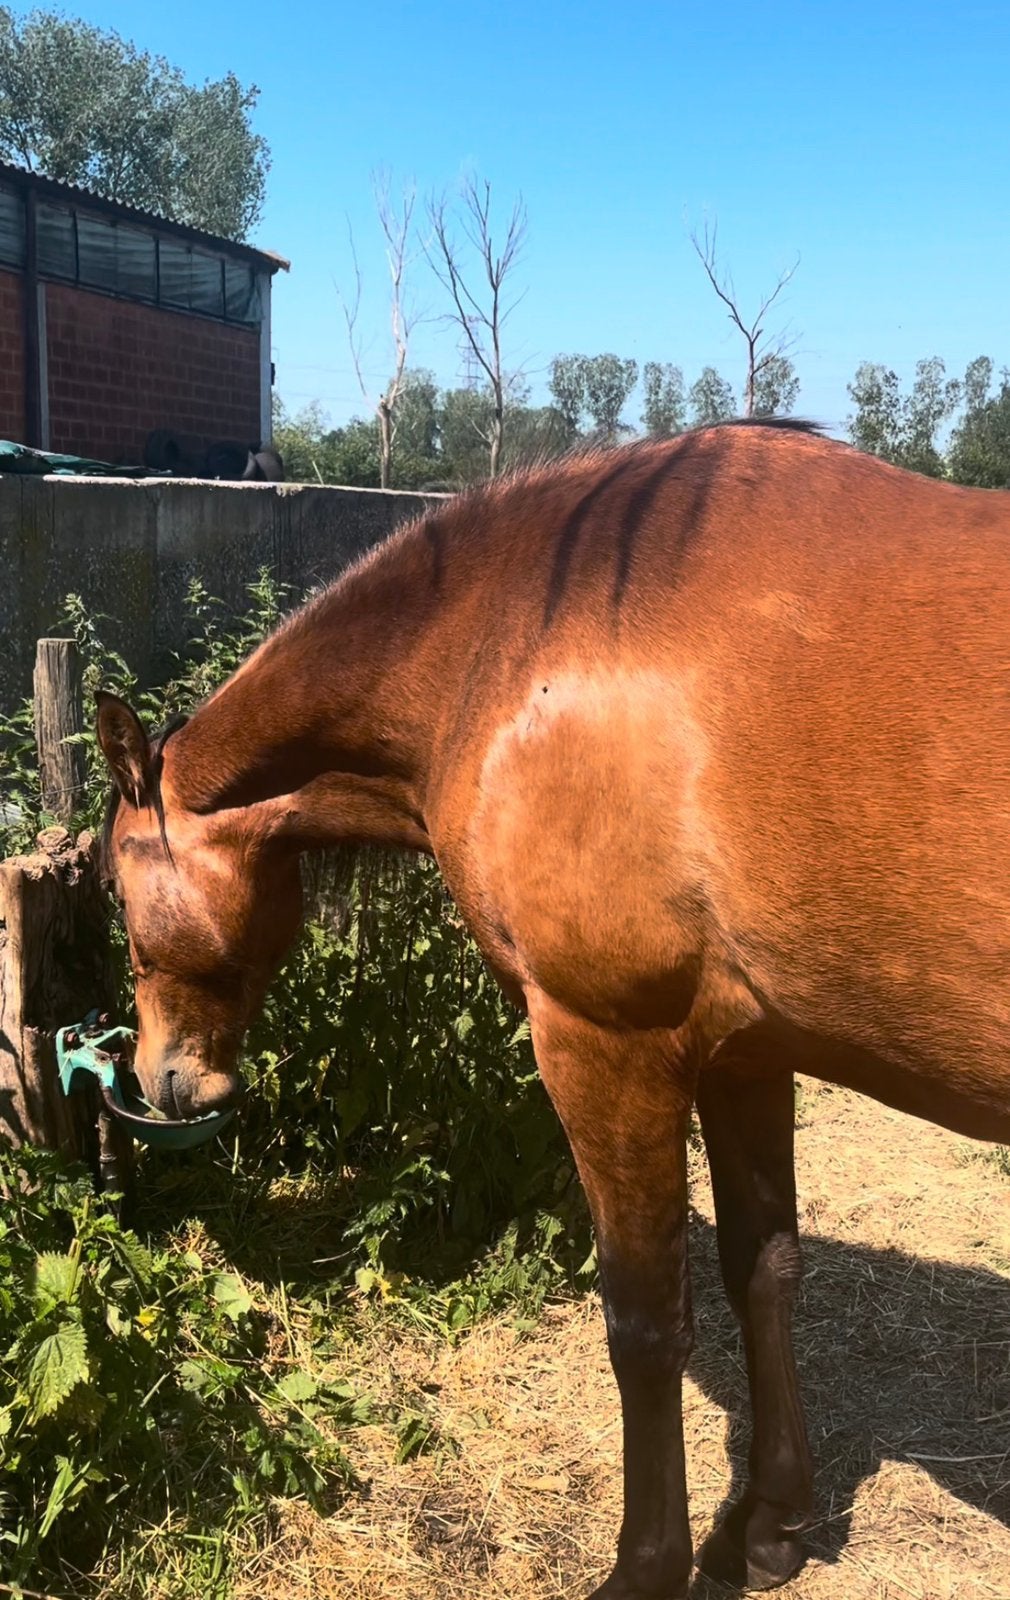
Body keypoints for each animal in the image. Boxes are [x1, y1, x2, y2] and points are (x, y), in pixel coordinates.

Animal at [97, 418, 1010, 1599]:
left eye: (118, 899)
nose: (162, 1078)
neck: (528, 644)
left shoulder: (603, 1046)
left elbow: (645, 1322)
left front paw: (647, 1564)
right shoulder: (746, 1055)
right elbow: (763, 1269)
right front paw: (766, 1525)